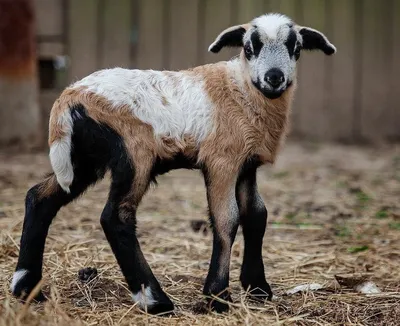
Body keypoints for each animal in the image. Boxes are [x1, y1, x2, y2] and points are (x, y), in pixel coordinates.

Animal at [10, 12, 334, 314]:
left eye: (296, 48)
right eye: (249, 47)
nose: (274, 77)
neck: (240, 89)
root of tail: (68, 98)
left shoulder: (246, 165)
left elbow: (256, 214)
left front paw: (258, 288)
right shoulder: (221, 160)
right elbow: (227, 219)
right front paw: (217, 296)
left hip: (81, 158)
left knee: (40, 197)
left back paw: (26, 288)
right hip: (133, 154)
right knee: (116, 217)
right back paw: (155, 300)